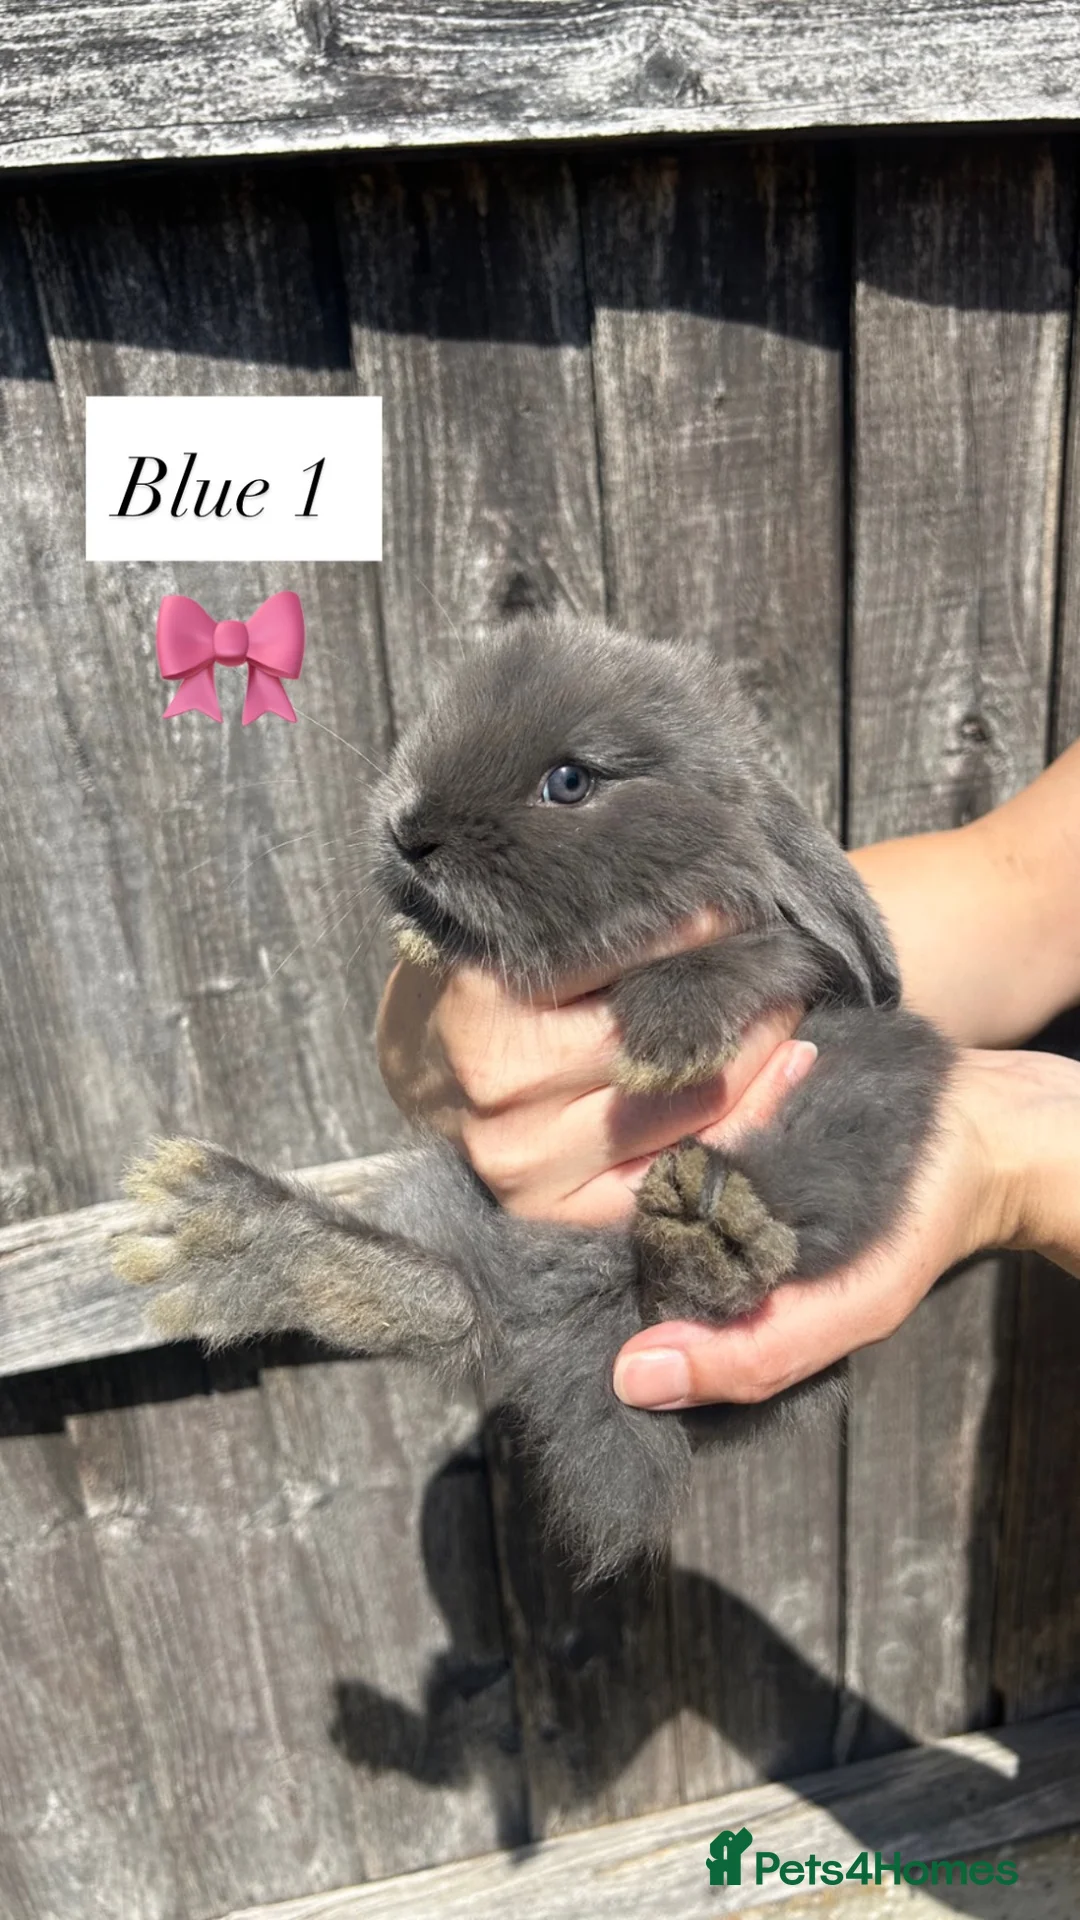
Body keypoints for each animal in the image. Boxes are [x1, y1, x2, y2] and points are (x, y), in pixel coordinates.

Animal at [113, 614, 953, 1581]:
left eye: (570, 781)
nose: (410, 831)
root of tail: (573, 1307)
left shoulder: (789, 961)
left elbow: (753, 956)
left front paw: (666, 1042)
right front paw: (422, 935)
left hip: (865, 1089)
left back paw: (706, 1241)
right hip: (453, 1194)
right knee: (453, 1303)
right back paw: (229, 1236)